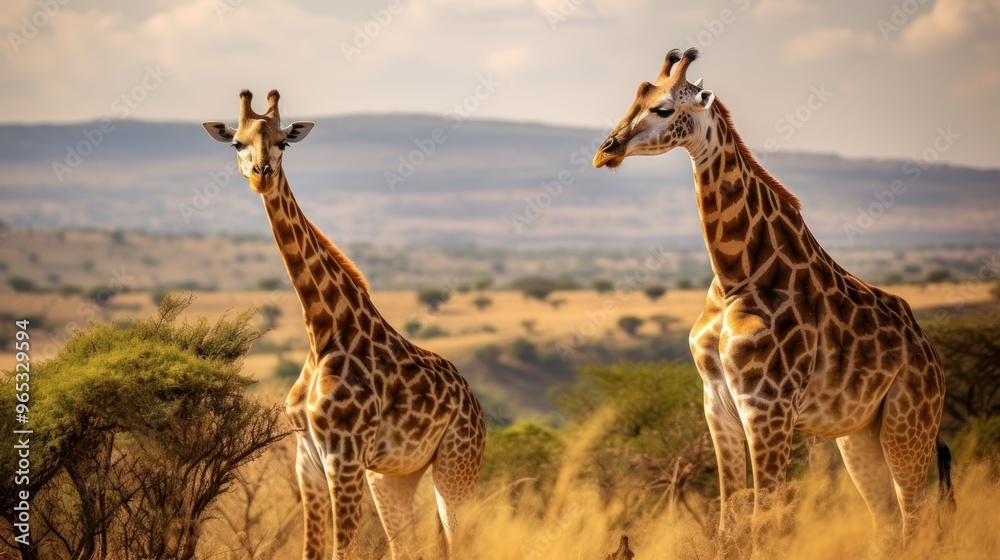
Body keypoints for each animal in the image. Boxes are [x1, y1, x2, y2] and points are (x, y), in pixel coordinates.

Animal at [202, 90, 487, 560]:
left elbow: (342, 551)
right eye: (237, 144)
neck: (322, 329)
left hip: (458, 464)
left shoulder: (345, 456)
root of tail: (475, 402)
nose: (262, 175)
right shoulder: (308, 460)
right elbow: (312, 551)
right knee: (406, 547)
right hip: (393, 475)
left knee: (463, 540)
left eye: (283, 142)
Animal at [593, 49, 953, 551]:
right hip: (859, 434)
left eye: (664, 109)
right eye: (636, 98)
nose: (606, 150)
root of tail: (930, 355)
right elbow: (728, 519)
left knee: (916, 521)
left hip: (911, 422)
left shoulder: (768, 407)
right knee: (887, 526)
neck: (736, 276)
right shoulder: (716, 402)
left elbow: (765, 525)